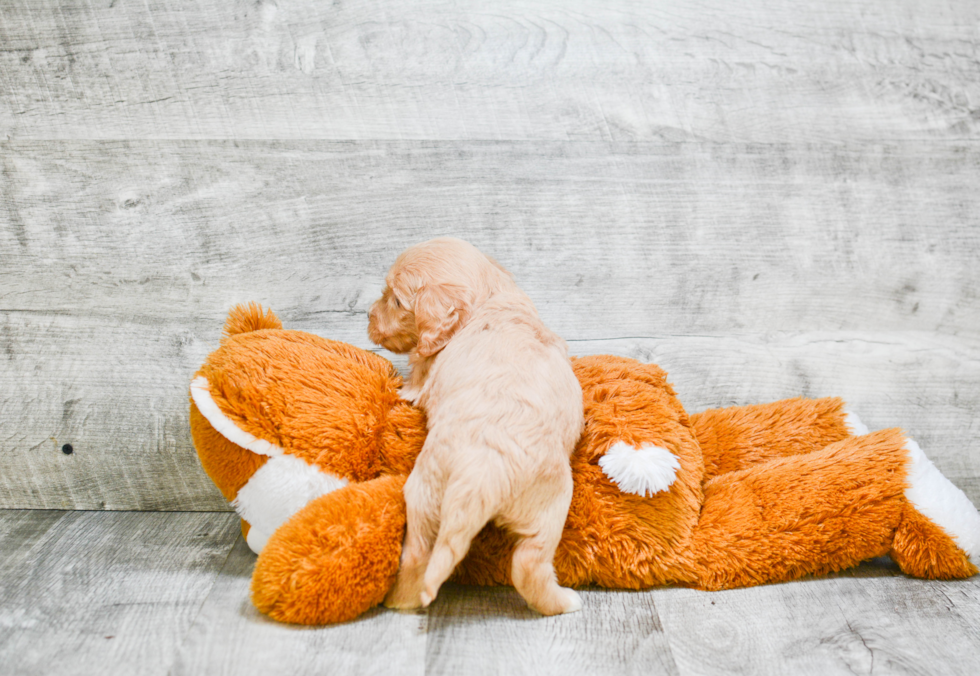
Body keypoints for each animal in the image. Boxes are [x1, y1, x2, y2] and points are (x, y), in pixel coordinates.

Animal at [368, 239, 580, 616]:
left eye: (395, 300)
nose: (368, 316)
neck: (490, 298)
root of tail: (483, 474)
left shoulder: (424, 369)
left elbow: (412, 384)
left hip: (427, 494)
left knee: (420, 555)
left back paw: (398, 601)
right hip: (550, 507)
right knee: (528, 563)